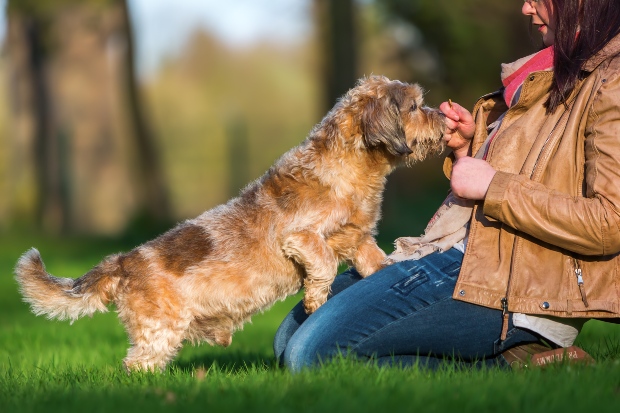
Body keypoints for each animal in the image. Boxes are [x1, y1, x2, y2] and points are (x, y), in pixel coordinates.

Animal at [12, 75, 444, 370]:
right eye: (415, 106)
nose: (442, 116)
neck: (350, 172)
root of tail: (123, 262)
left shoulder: (359, 240)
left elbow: (374, 261)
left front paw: (387, 273)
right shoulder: (301, 237)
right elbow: (321, 262)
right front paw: (315, 300)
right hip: (160, 331)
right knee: (136, 365)